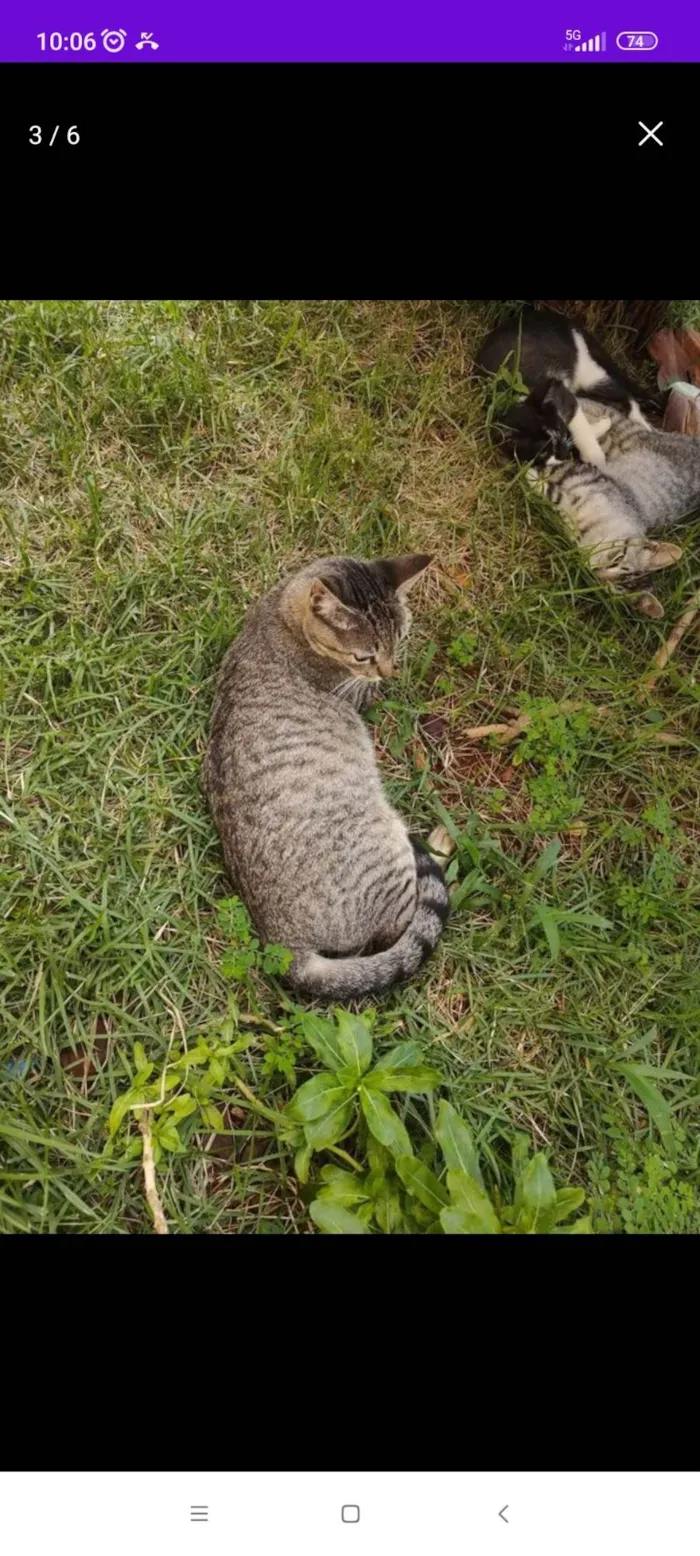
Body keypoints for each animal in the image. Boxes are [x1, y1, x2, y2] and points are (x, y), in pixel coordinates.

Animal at [203, 553, 448, 1002]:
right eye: (364, 657)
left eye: (398, 639)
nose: (390, 670)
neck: (280, 616)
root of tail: (282, 943)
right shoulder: (358, 690)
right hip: (388, 853)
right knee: (395, 930)